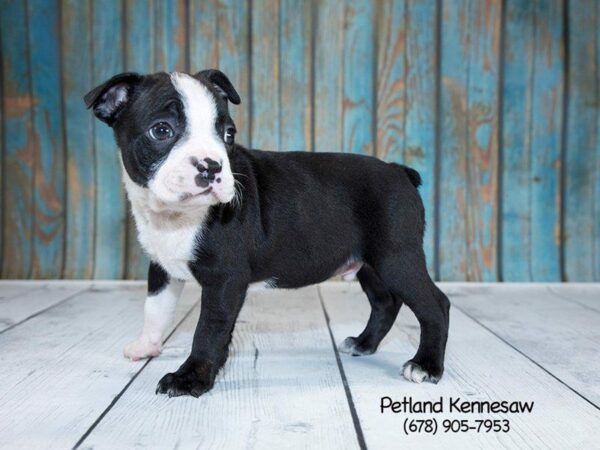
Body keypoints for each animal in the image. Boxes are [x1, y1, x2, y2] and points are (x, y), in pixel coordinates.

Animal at [84, 70, 450, 398]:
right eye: (161, 130)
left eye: (228, 135)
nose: (212, 166)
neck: (176, 218)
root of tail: (399, 171)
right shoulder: (161, 268)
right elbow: (155, 309)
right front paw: (147, 346)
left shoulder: (225, 280)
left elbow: (208, 330)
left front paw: (191, 379)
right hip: (370, 264)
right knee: (385, 301)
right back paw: (363, 343)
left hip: (396, 258)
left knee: (435, 304)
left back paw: (426, 366)